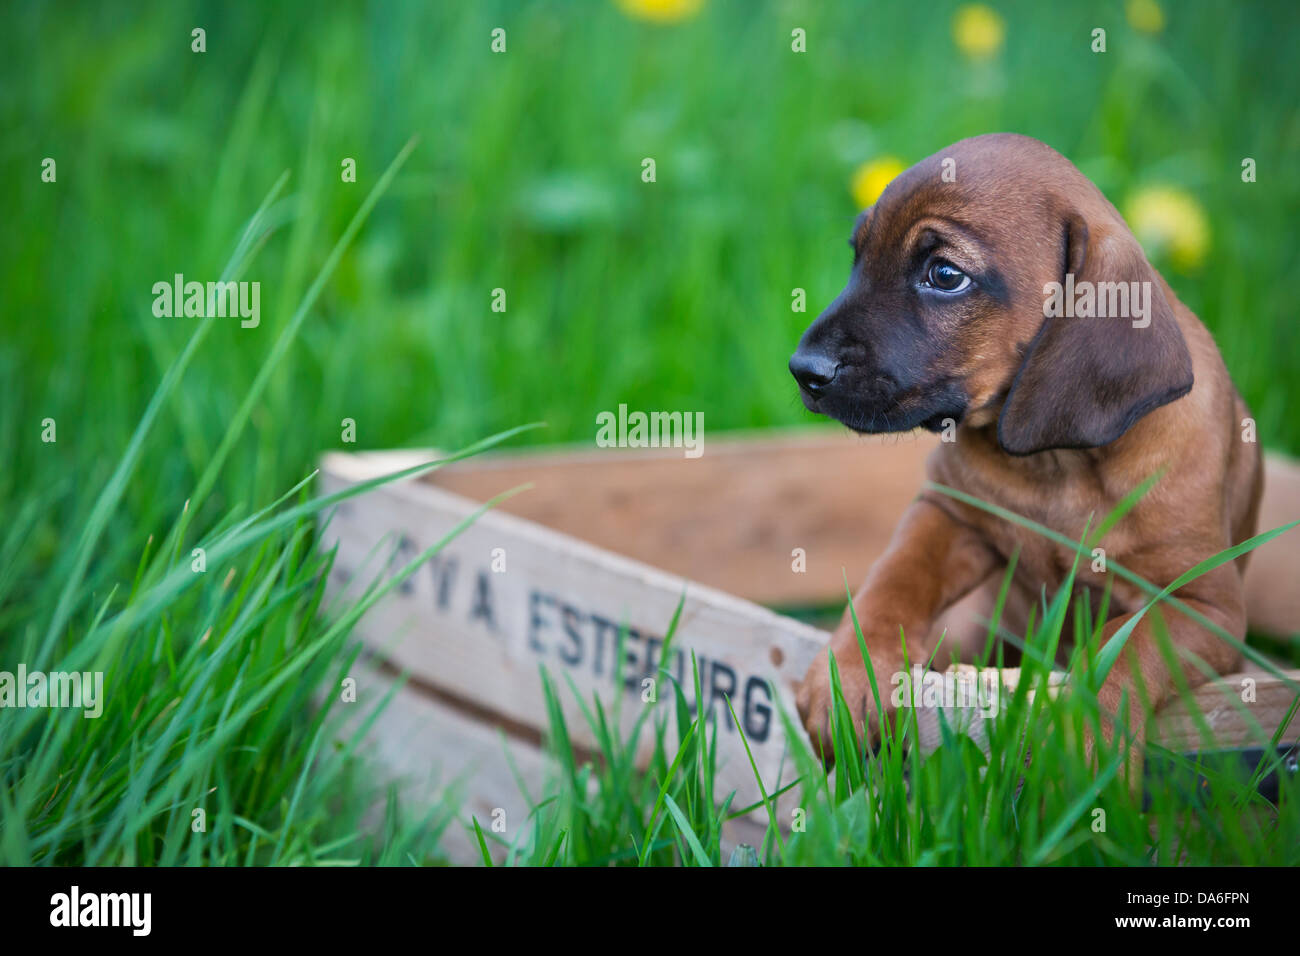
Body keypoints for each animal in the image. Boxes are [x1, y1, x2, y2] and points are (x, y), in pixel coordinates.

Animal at [790, 134, 1258, 764]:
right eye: (857, 256)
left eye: (944, 274)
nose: (803, 370)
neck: (1055, 462)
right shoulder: (949, 513)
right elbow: (890, 583)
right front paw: (847, 675)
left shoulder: (1202, 607)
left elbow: (1127, 645)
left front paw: (1081, 741)